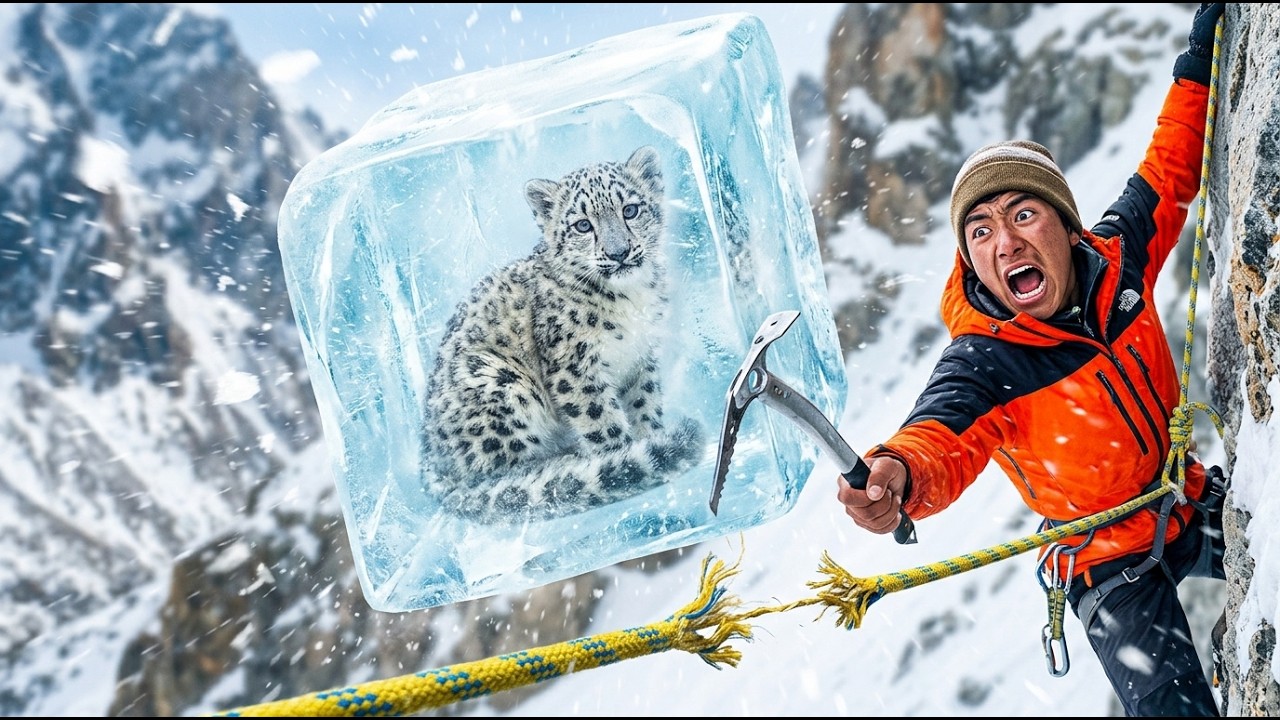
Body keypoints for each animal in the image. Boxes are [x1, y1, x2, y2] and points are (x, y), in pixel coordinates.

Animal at [422, 145, 705, 524]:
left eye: (630, 209)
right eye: (583, 225)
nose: (619, 253)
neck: (632, 299)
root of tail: (429, 460)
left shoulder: (640, 357)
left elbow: (644, 403)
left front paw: (652, 438)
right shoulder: (576, 366)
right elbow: (602, 421)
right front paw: (624, 457)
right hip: (499, 379)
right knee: (500, 476)